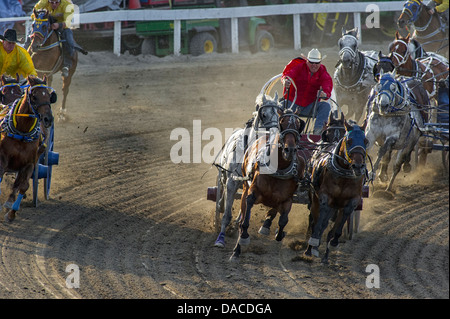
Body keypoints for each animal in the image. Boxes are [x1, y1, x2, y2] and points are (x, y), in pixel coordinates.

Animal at [0, 74, 54, 222]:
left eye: (49, 96)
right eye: (34, 96)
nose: (48, 119)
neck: (22, 131)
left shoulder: (30, 162)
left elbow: (24, 185)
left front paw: (11, 212)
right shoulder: (3, 159)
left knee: (18, 182)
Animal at [212, 92, 280, 248]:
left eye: (278, 114)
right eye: (264, 114)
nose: (276, 134)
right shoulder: (231, 182)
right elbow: (226, 214)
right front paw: (220, 238)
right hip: (225, 176)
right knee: (223, 190)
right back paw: (221, 206)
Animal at [230, 110, 308, 262]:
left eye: (298, 125)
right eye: (282, 122)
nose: (289, 150)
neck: (279, 169)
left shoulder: (287, 199)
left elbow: (283, 220)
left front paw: (279, 233)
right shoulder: (253, 191)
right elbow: (246, 213)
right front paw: (243, 236)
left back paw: (266, 225)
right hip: (245, 185)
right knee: (243, 211)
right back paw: (237, 248)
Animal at [304, 119, 368, 264]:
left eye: (365, 140)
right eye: (349, 140)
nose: (358, 166)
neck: (344, 174)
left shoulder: (351, 201)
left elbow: (337, 226)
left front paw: (333, 241)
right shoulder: (325, 198)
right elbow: (319, 222)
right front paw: (314, 242)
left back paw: (325, 255)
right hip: (314, 197)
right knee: (314, 219)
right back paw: (310, 248)